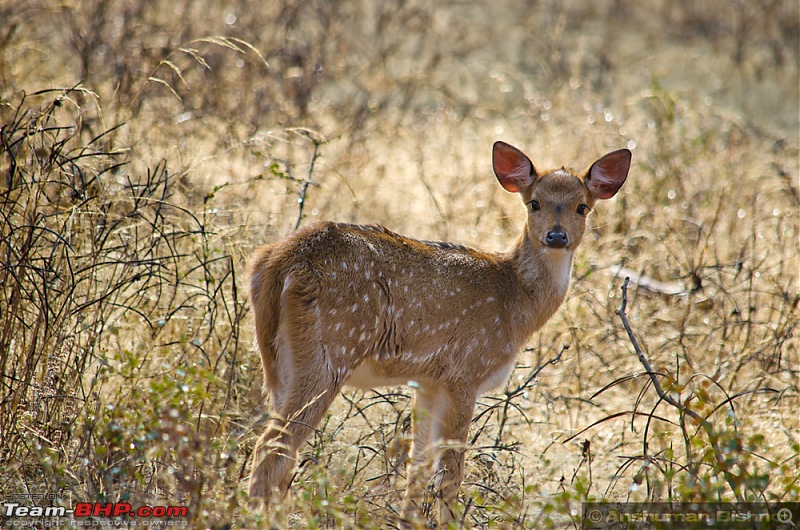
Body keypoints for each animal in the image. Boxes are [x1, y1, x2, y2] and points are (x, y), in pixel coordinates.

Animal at [245, 140, 632, 524]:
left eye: (582, 207)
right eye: (534, 202)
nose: (556, 236)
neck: (514, 303)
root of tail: (277, 261)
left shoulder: (427, 381)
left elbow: (418, 465)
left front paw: (408, 521)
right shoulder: (465, 373)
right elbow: (451, 472)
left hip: (278, 364)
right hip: (328, 354)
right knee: (272, 447)